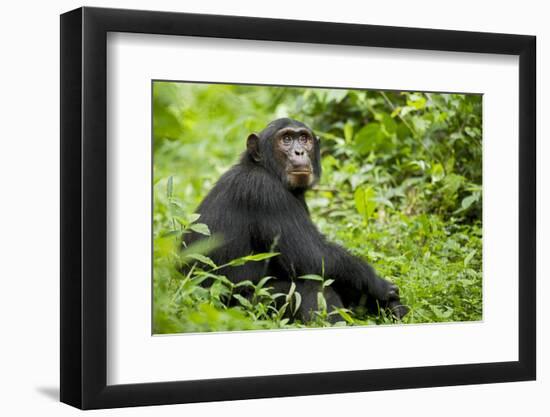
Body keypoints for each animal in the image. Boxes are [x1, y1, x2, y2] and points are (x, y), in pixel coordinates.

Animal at [185, 118, 410, 320]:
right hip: (243, 308)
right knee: (310, 284)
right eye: (286, 139)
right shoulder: (266, 193)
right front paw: (381, 286)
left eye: (303, 138)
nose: (299, 152)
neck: (267, 170)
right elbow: (313, 255)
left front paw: (391, 306)